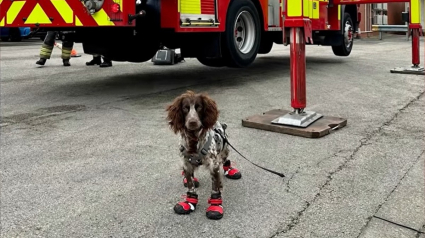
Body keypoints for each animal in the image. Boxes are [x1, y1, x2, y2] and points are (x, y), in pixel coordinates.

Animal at [164, 90, 240, 220]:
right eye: (185, 108)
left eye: (199, 107)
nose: (192, 122)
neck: (193, 139)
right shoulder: (186, 164)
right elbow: (190, 185)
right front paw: (190, 202)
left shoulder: (213, 165)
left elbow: (215, 188)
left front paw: (215, 206)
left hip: (224, 150)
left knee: (225, 161)